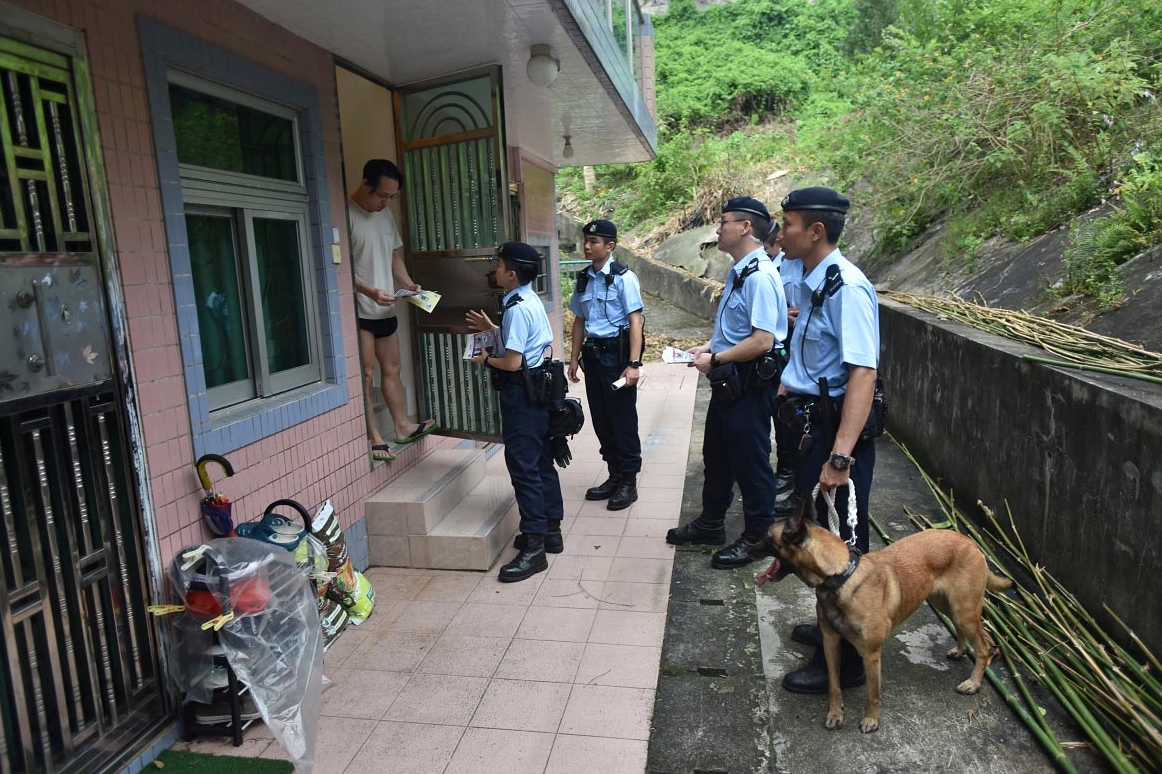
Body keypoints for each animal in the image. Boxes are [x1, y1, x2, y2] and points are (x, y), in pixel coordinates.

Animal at [749, 500, 1013, 733]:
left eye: (767, 537)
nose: (748, 549)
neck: (840, 577)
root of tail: (969, 541)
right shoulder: (831, 642)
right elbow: (834, 685)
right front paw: (835, 714)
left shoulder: (871, 654)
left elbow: (872, 694)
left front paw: (871, 721)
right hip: (946, 604)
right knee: (970, 632)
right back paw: (959, 650)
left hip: (963, 610)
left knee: (985, 645)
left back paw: (973, 683)